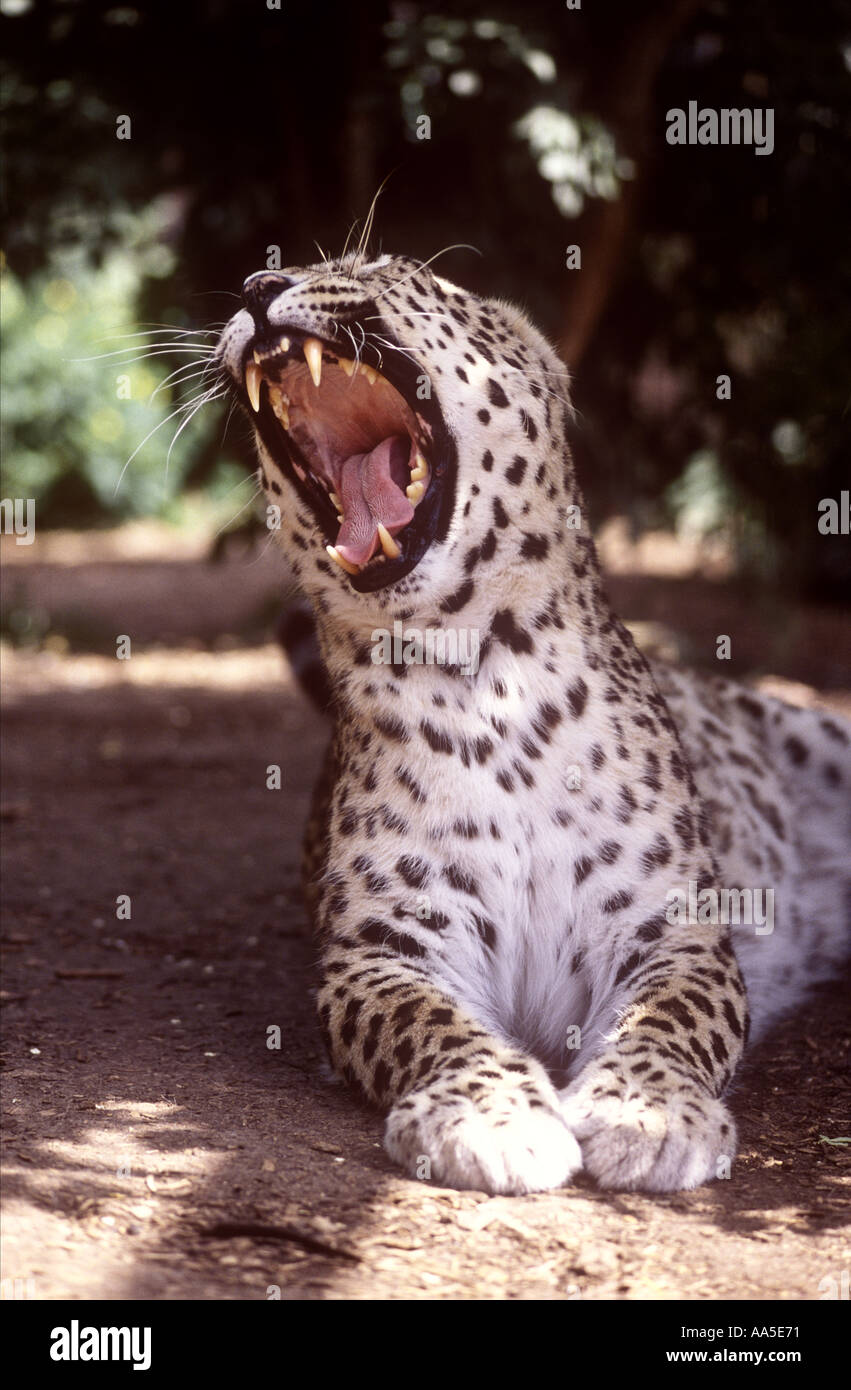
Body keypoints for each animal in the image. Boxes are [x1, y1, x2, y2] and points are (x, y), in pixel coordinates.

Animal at [215, 250, 850, 1195]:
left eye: (378, 269)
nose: (258, 288)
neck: (489, 685)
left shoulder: (675, 931)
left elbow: (668, 1022)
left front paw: (648, 1114)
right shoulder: (385, 952)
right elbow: (431, 1025)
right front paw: (490, 1116)